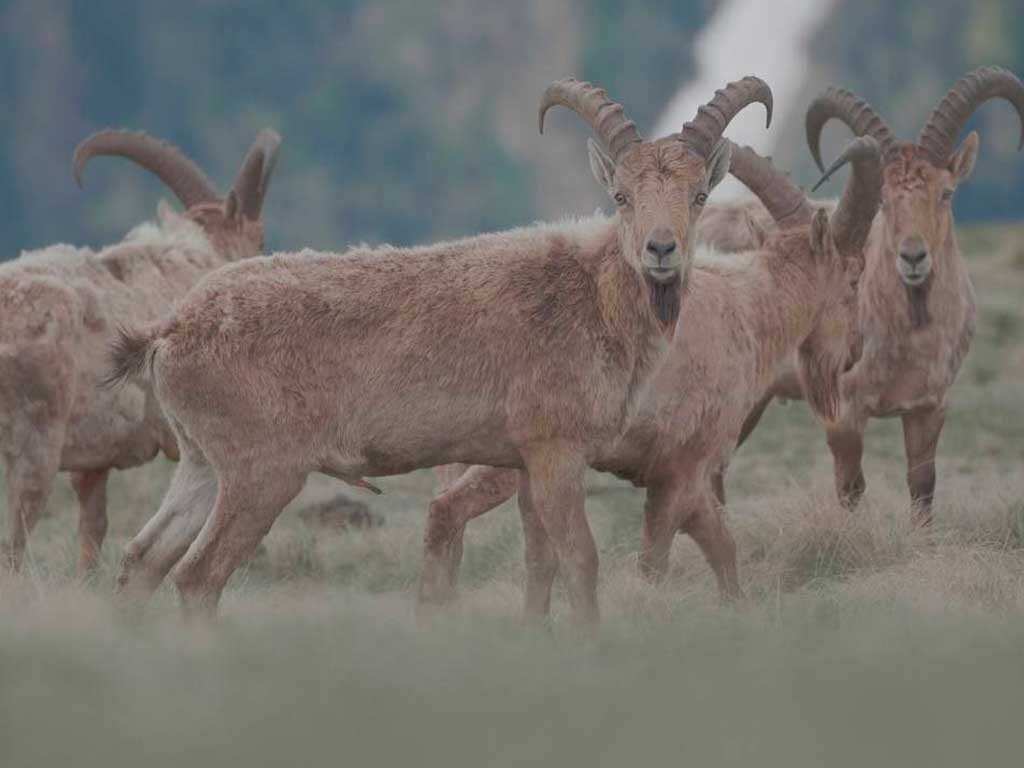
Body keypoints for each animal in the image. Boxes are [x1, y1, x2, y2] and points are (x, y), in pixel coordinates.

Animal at [0, 128, 280, 573]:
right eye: (261, 236)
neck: (195, 255)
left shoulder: (94, 460)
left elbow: (93, 526)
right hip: (35, 442)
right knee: (13, 542)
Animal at [108, 75, 770, 626]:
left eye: (699, 194)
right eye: (621, 195)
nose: (661, 250)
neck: (589, 297)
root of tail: (170, 329)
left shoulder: (522, 461)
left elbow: (541, 561)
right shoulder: (557, 450)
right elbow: (581, 558)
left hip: (201, 465)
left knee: (143, 559)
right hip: (260, 472)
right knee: (197, 577)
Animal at [419, 137, 884, 606]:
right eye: (854, 277)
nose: (855, 351)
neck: (746, 306)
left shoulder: (685, 477)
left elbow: (722, 546)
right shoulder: (680, 470)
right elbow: (658, 560)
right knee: (450, 510)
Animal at [737, 67, 1024, 524]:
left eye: (946, 193)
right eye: (884, 201)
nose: (913, 256)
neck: (911, 338)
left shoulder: (930, 406)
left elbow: (922, 485)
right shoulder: (844, 411)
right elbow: (850, 489)